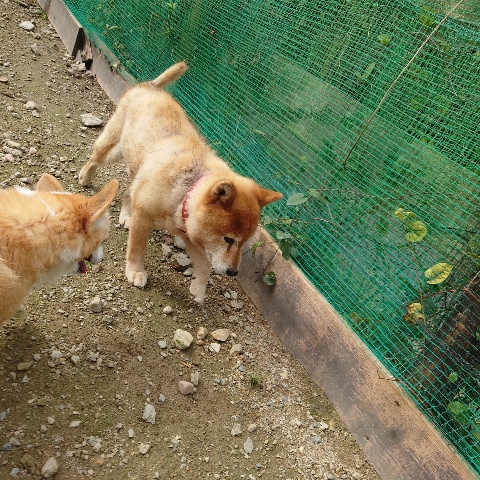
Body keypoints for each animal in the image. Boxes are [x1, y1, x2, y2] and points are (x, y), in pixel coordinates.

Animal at [78, 61, 282, 303]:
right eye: (228, 239)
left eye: (243, 242)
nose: (234, 272)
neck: (186, 194)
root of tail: (150, 87)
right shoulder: (144, 220)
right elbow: (136, 249)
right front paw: (135, 271)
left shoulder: (192, 237)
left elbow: (205, 265)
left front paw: (199, 287)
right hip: (113, 148)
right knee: (95, 157)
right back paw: (85, 176)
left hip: (136, 166)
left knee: (129, 191)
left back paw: (126, 213)